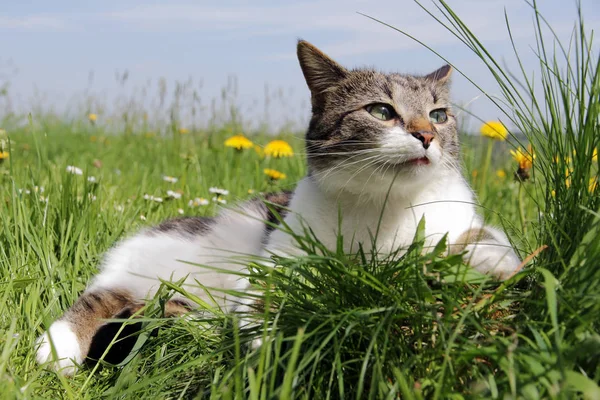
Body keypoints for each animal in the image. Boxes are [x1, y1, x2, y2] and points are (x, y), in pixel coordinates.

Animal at [35, 39, 520, 376]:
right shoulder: (280, 262)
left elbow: (483, 238)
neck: (386, 206)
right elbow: (260, 303)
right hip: (169, 262)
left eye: (439, 115)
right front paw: (265, 352)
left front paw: (501, 264)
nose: (428, 135)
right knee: (102, 295)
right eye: (382, 111)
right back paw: (57, 350)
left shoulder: (455, 222)